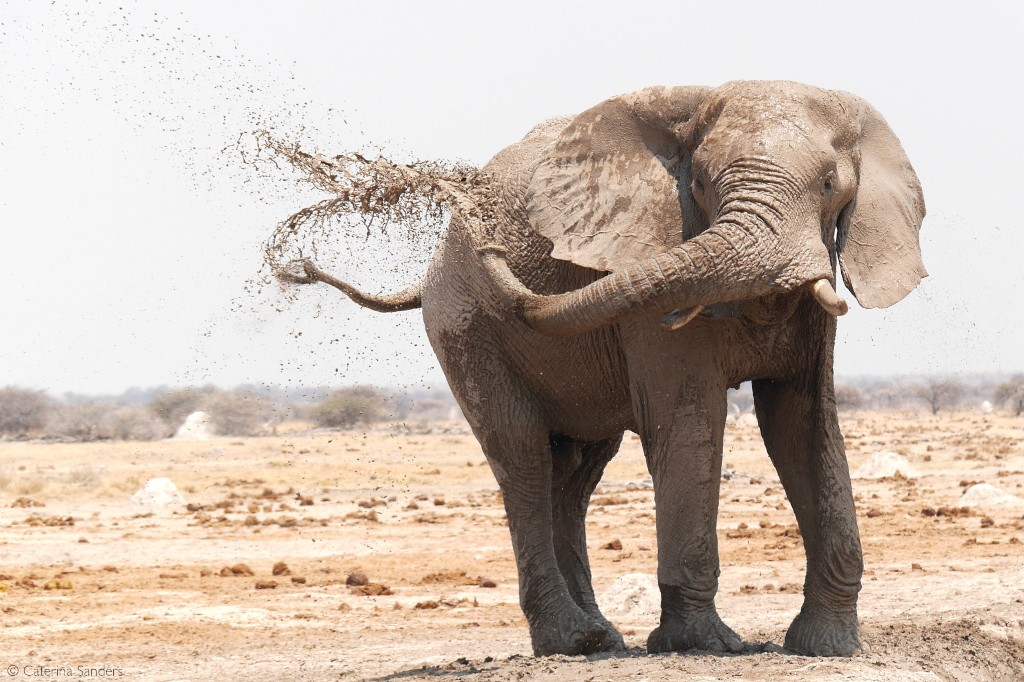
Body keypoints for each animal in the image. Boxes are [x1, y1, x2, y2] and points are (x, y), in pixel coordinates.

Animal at [292, 80, 925, 659]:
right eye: (699, 185)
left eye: (829, 184)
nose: (490, 242)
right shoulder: (649, 272)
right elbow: (689, 418)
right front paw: (702, 645)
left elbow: (802, 423)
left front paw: (828, 647)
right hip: (465, 327)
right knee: (522, 459)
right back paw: (572, 640)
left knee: (573, 475)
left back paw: (601, 639)